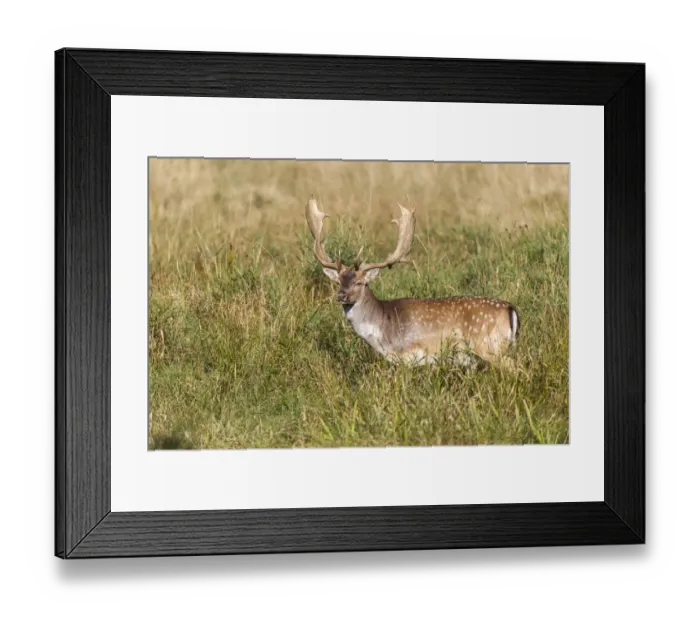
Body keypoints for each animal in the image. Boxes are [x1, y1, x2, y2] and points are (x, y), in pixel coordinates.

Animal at [305, 195, 520, 368]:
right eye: (338, 281)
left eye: (359, 282)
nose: (341, 295)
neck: (383, 332)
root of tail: (511, 309)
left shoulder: (408, 357)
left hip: (490, 346)